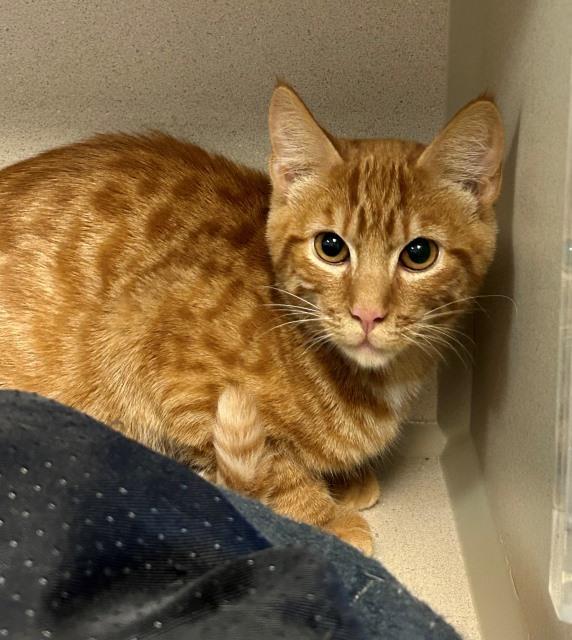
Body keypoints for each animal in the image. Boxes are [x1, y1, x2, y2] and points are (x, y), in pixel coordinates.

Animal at [0, 86, 500, 556]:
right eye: (331, 247)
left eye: (419, 254)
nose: (368, 313)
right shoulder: (153, 345)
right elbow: (269, 465)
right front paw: (325, 514)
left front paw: (346, 479)